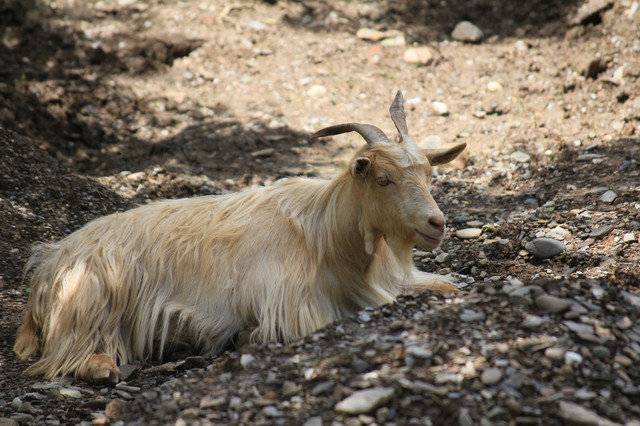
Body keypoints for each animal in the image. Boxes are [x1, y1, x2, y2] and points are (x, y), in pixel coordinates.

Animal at [13, 91, 464, 382]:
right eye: (383, 179)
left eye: (429, 174)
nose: (436, 224)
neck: (326, 237)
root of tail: (48, 264)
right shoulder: (294, 311)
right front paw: (245, 336)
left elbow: (446, 287)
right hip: (90, 299)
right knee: (69, 354)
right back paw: (105, 367)